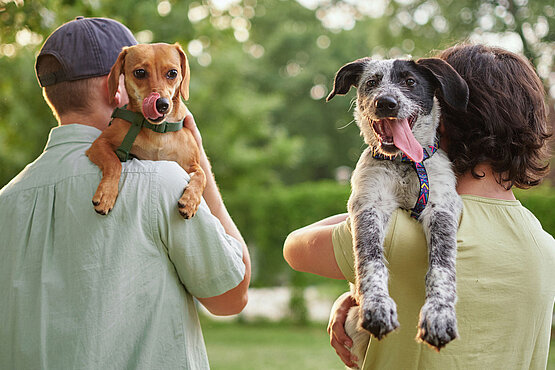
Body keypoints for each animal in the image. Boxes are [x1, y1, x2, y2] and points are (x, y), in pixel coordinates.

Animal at [87, 43, 206, 218]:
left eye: (173, 73)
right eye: (140, 72)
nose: (162, 104)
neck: (158, 131)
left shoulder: (191, 163)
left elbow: (202, 175)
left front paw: (191, 200)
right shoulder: (99, 144)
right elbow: (114, 163)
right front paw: (106, 194)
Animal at [328, 57, 472, 364]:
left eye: (410, 82)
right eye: (372, 82)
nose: (386, 102)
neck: (404, 163)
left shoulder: (441, 208)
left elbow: (442, 267)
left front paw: (439, 316)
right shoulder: (368, 206)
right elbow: (371, 261)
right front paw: (377, 307)